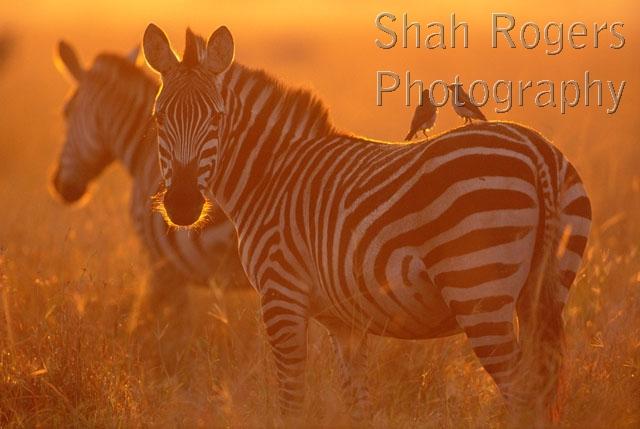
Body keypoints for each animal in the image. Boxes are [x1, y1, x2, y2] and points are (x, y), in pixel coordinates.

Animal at [142, 24, 592, 423]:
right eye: (159, 118)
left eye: (216, 119)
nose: (182, 204)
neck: (271, 175)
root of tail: (536, 153)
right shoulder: (346, 322)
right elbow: (357, 402)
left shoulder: (280, 295)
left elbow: (291, 399)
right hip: (546, 290)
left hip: (478, 289)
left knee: (523, 394)